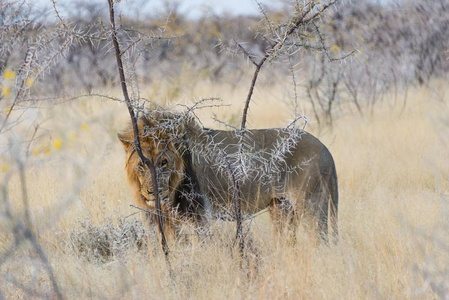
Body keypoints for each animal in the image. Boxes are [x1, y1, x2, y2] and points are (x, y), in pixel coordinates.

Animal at [117, 112, 338, 244]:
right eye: (141, 165)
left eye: (164, 162)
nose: (153, 191)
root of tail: (326, 150)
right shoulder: (168, 220)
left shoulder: (199, 215)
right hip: (281, 208)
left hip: (311, 206)